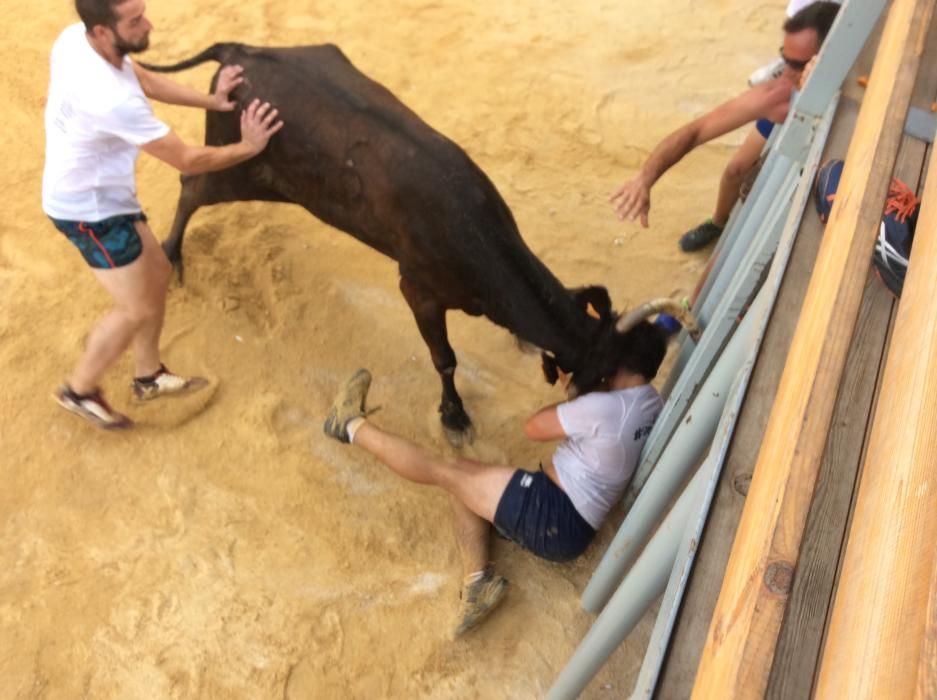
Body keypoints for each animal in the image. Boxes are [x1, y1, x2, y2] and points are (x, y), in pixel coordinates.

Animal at [141, 41, 620, 434]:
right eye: (595, 380)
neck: (479, 239)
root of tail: (239, 52)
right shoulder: (418, 291)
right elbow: (444, 359)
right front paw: (454, 416)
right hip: (240, 168)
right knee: (192, 184)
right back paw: (171, 254)